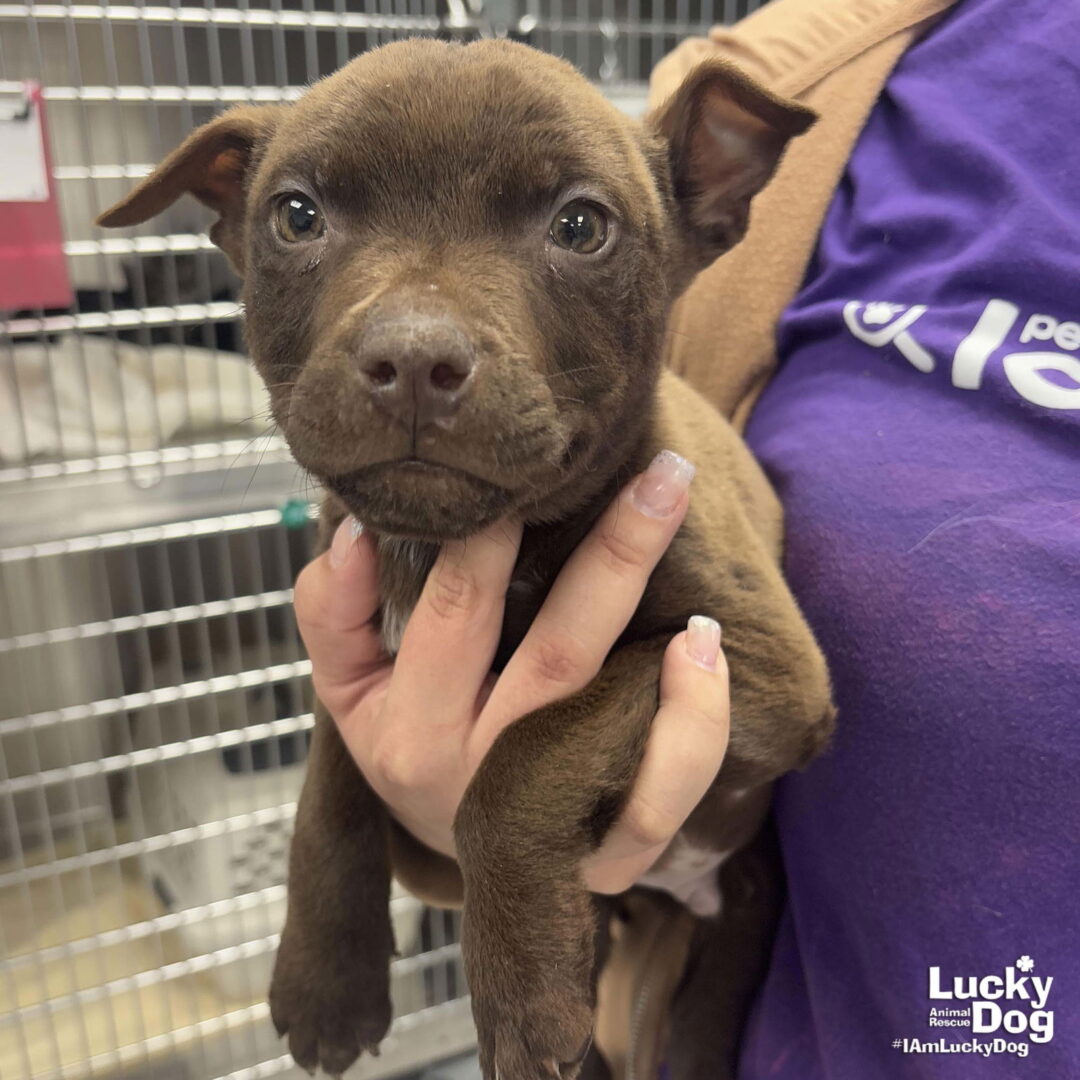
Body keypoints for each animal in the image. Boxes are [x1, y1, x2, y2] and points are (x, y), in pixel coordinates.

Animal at [98, 38, 834, 1080]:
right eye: (296, 215)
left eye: (581, 226)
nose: (413, 359)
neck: (446, 546)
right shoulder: (350, 655)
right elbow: (328, 782)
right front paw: (325, 978)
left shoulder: (760, 668)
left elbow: (538, 742)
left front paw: (519, 994)